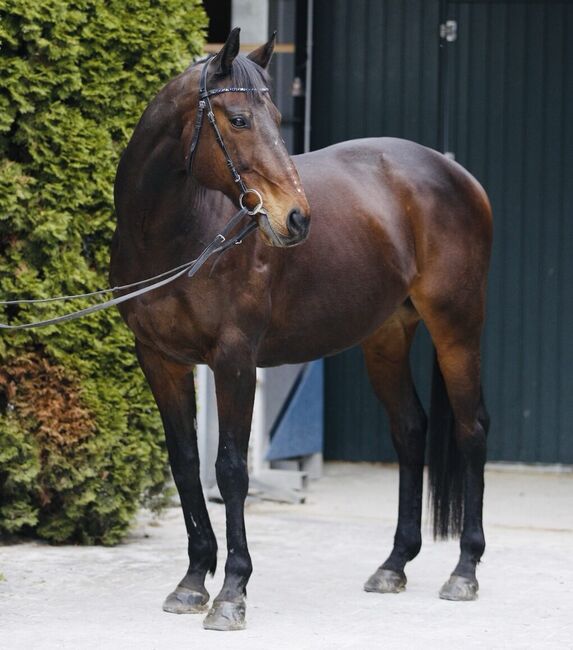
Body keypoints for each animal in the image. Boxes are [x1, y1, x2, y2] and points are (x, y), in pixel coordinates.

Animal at [111, 28, 492, 631]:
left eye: (276, 116)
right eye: (239, 119)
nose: (295, 218)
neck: (178, 235)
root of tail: (457, 174)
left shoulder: (234, 360)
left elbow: (231, 469)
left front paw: (232, 592)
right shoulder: (159, 359)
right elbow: (186, 465)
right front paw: (193, 581)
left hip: (458, 326)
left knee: (470, 429)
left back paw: (464, 571)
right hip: (386, 336)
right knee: (410, 429)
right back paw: (394, 564)